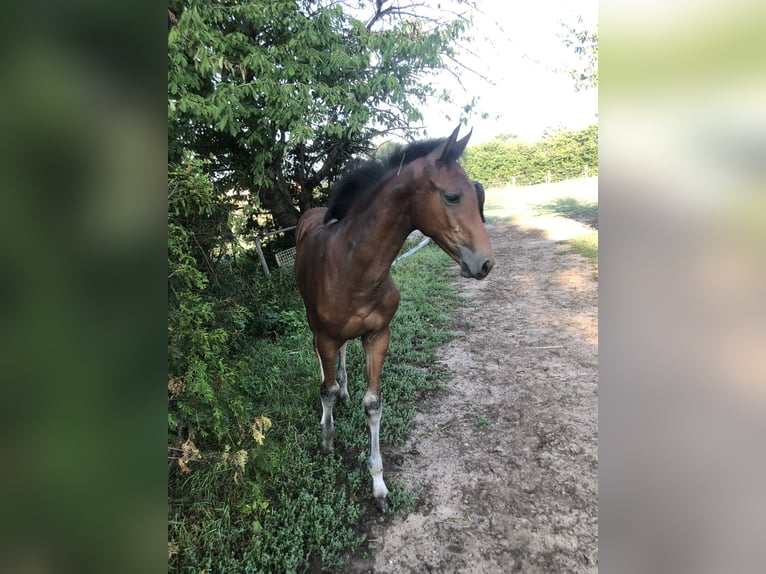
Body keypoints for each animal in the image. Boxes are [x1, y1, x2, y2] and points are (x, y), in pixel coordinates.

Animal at [294, 127, 498, 512]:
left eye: (477, 194)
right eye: (452, 196)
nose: (485, 263)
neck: (352, 268)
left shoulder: (378, 335)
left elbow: (373, 405)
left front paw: (378, 485)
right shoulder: (325, 335)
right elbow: (326, 390)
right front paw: (327, 440)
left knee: (344, 356)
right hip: (313, 320)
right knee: (321, 358)